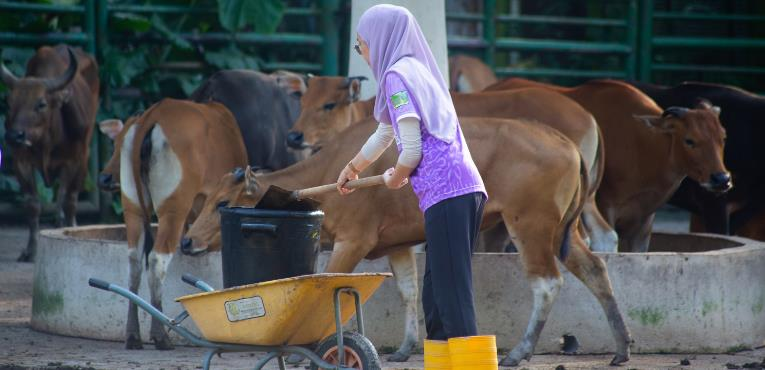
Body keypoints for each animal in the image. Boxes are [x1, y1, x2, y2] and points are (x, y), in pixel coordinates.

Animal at [0, 44, 100, 262]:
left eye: (41, 104)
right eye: (9, 102)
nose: (14, 135)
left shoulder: (75, 160)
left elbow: (67, 199)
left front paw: (69, 231)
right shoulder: (21, 162)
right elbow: (33, 205)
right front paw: (31, 251)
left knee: (67, 198)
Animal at [111, 98, 245, 350]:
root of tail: (151, 116)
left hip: (132, 208)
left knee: (134, 264)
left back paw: (133, 335)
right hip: (173, 210)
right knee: (156, 260)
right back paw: (161, 334)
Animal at [286, 76, 616, 253]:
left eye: (329, 105)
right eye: (302, 102)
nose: (293, 136)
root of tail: (585, 113)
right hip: (584, 200)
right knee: (603, 236)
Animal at [486, 78, 732, 251]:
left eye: (723, 137)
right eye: (689, 140)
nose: (722, 179)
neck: (642, 142)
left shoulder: (644, 222)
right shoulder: (608, 205)